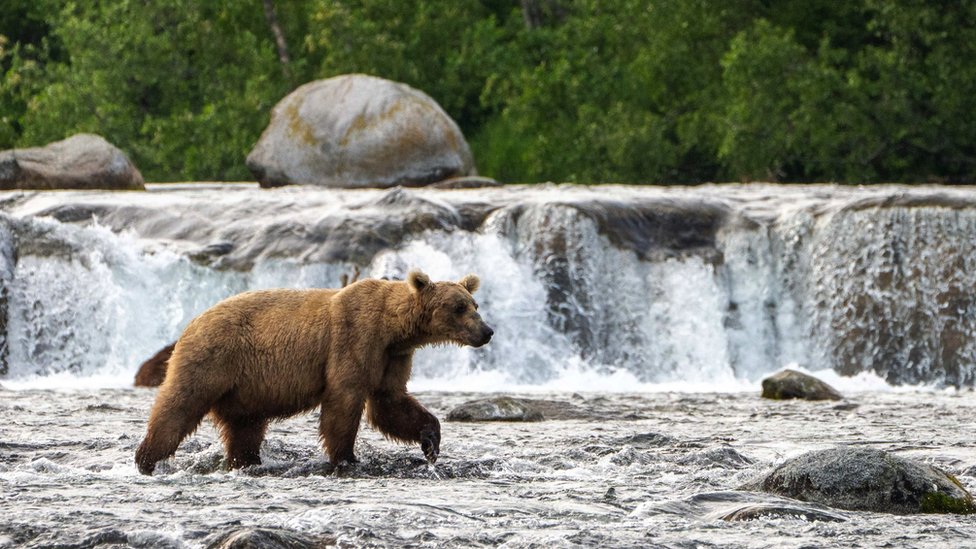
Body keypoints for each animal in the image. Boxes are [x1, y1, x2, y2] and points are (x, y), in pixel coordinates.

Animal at [133, 270, 492, 476]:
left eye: (474, 304)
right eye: (459, 307)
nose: (487, 331)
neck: (394, 327)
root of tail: (192, 321)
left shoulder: (393, 357)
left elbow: (390, 403)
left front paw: (431, 441)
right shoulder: (355, 339)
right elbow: (344, 401)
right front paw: (346, 458)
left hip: (244, 388)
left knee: (244, 428)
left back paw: (245, 462)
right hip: (213, 358)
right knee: (179, 405)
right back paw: (147, 459)